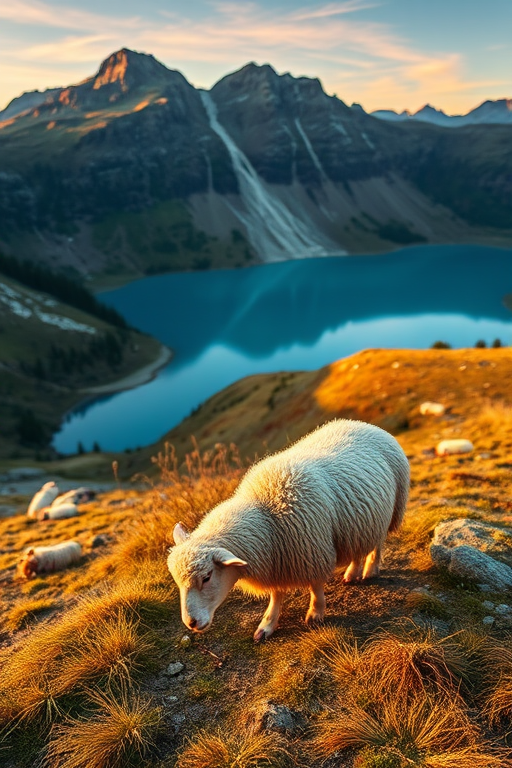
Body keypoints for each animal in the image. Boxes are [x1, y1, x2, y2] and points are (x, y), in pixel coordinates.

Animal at [167, 419, 410, 642]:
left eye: (207, 577)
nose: (191, 623)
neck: (265, 516)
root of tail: (365, 424)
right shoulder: (279, 560)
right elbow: (276, 595)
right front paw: (268, 624)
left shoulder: (312, 552)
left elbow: (315, 587)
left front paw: (315, 613)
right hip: (358, 522)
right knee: (358, 545)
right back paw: (352, 572)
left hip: (388, 511)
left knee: (377, 544)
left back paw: (370, 569)